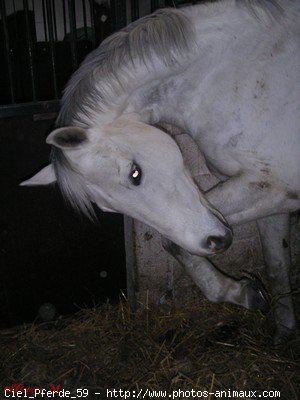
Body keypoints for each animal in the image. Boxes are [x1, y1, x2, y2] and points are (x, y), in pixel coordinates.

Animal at [21, 0, 300, 344]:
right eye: (106, 208)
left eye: (135, 173)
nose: (217, 242)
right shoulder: (270, 193)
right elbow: (276, 264)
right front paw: (261, 310)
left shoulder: (274, 187)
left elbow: (177, 243)